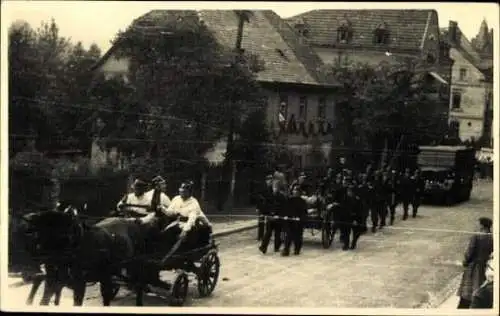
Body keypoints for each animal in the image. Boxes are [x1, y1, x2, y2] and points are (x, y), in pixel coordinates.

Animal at [20, 207, 154, 306]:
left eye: (48, 223)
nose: (27, 217)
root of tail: (132, 221)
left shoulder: (79, 283)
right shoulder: (53, 280)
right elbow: (45, 299)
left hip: (136, 265)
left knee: (138, 285)